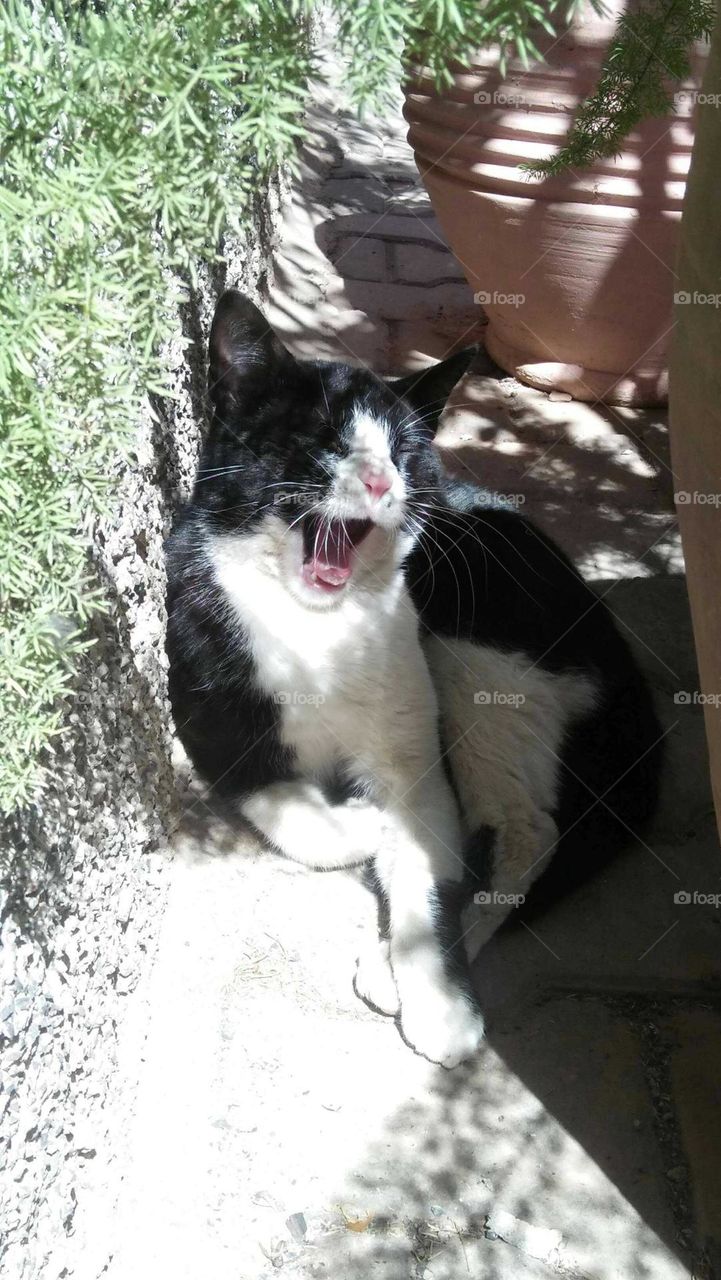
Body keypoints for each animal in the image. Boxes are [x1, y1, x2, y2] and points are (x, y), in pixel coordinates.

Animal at [166, 290, 660, 1070]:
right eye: (325, 442)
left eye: (401, 453)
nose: (380, 481)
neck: (318, 625)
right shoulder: (207, 712)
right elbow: (289, 807)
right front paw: (365, 823)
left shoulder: (414, 749)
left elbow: (430, 851)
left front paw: (439, 1001)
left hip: (478, 655)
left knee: (529, 828)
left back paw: (402, 958)